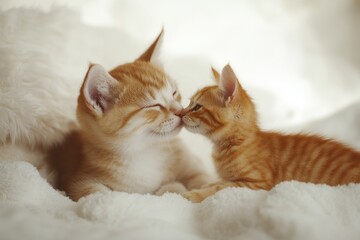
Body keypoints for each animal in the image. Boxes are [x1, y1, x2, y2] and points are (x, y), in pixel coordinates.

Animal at [49, 31, 212, 201]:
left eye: (174, 93)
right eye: (153, 105)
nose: (180, 111)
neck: (145, 152)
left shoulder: (193, 164)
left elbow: (204, 183)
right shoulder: (76, 180)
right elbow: (97, 193)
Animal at [181, 64, 360, 202]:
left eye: (197, 107)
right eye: (189, 103)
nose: (180, 113)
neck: (232, 143)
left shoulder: (258, 183)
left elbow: (221, 187)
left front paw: (195, 194)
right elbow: (219, 182)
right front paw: (206, 185)